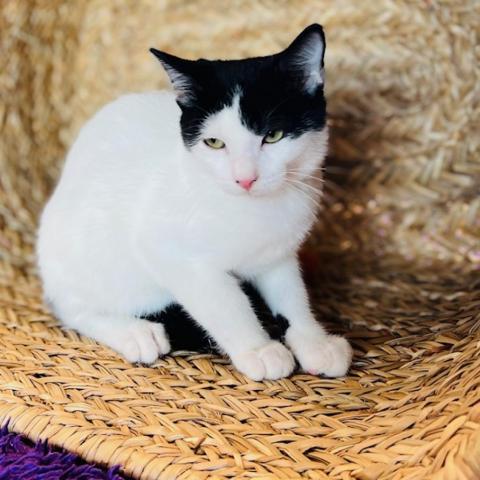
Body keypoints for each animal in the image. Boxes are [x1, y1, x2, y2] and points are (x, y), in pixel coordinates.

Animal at [36, 24, 352, 380]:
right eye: (214, 143)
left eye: (273, 136)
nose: (245, 178)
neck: (255, 209)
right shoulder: (166, 250)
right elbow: (225, 301)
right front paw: (258, 349)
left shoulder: (278, 253)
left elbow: (291, 293)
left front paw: (315, 341)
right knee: (72, 307)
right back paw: (133, 332)